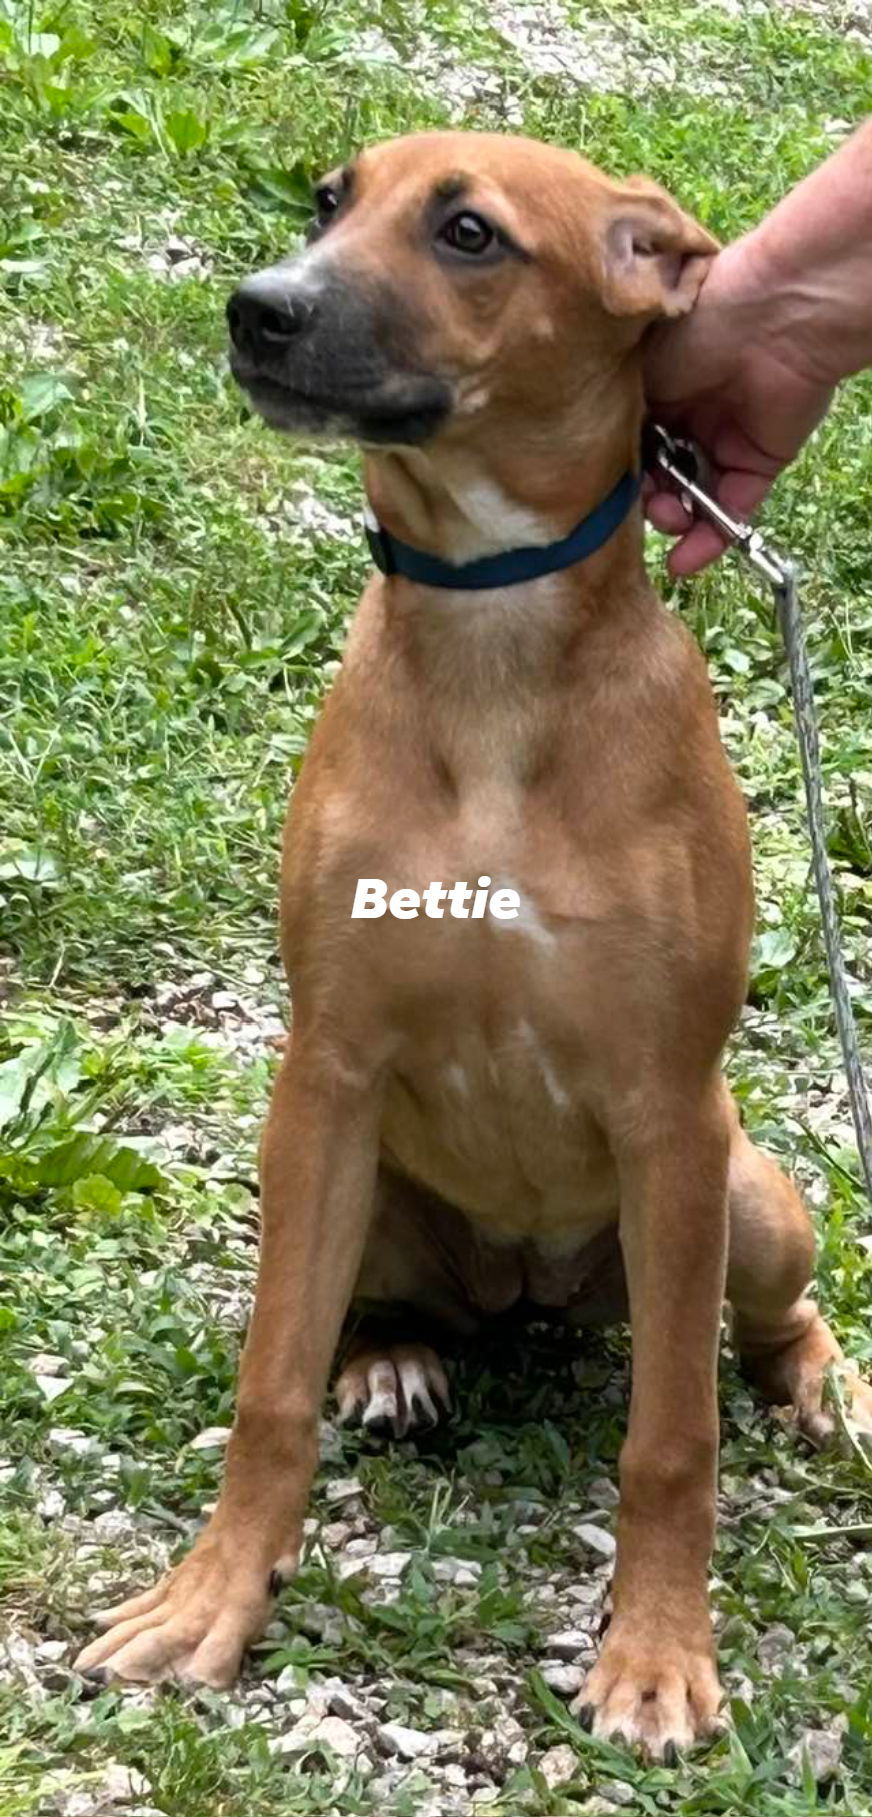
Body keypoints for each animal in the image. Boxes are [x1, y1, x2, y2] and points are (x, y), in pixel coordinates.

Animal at [74, 131, 872, 1758]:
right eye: (329, 201)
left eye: (468, 235)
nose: (258, 308)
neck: (494, 651)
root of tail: (532, 1290)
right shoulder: (326, 1069)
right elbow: (267, 1389)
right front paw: (209, 1599)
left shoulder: (667, 1111)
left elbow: (672, 1439)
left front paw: (656, 1656)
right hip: (350, 1176)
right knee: (373, 1308)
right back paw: (393, 1357)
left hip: (744, 1192)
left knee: (766, 1317)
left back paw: (824, 1382)